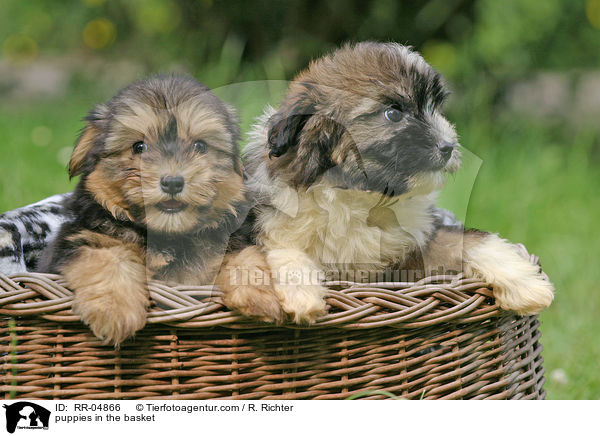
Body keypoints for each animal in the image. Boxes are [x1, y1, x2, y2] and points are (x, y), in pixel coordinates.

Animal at [39, 76, 246, 348]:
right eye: (139, 147)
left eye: (200, 146)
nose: (172, 182)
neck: (167, 236)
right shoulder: (81, 238)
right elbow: (107, 258)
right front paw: (114, 310)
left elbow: (244, 256)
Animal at [223, 41, 556, 324]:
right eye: (393, 114)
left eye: (435, 107)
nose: (448, 146)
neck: (358, 196)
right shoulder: (273, 226)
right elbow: (283, 250)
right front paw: (302, 297)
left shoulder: (413, 252)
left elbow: (470, 240)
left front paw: (527, 283)